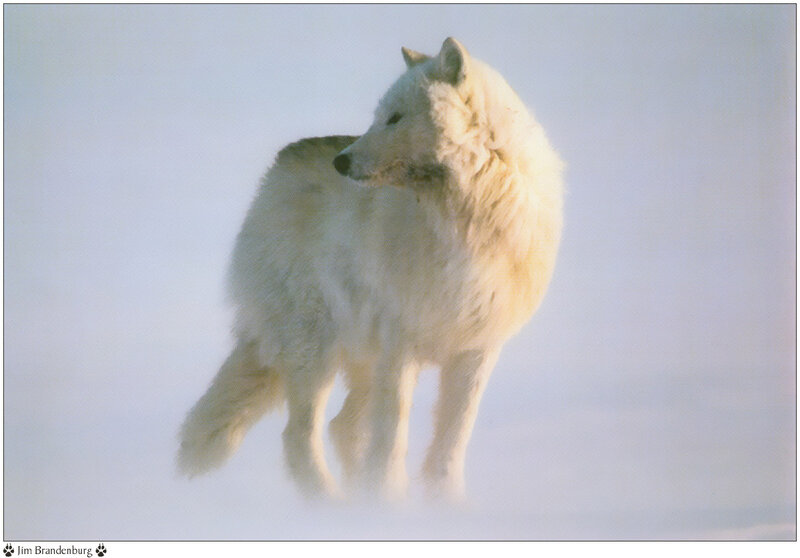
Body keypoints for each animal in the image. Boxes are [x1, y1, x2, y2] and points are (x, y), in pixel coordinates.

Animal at [178, 37, 563, 501]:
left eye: (395, 118)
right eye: (378, 117)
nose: (340, 164)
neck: (467, 221)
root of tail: (277, 167)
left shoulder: (477, 348)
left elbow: (453, 438)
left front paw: (444, 504)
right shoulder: (401, 344)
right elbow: (393, 434)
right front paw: (390, 501)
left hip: (359, 360)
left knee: (341, 428)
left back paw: (354, 502)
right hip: (317, 350)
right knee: (300, 435)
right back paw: (330, 505)